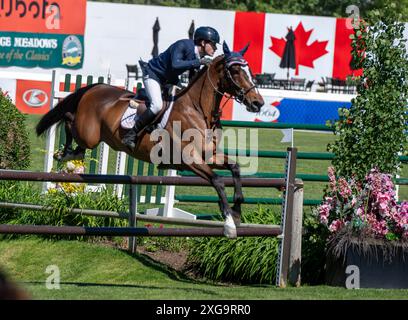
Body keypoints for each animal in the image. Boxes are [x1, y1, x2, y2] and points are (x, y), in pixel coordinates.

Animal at [35, 42, 264, 238]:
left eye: (250, 71)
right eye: (235, 71)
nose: (258, 103)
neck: (198, 110)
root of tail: (96, 87)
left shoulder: (209, 156)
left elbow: (235, 168)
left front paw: (237, 211)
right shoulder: (189, 160)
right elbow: (217, 181)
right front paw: (229, 224)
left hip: (92, 137)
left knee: (77, 137)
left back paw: (71, 153)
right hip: (89, 134)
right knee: (67, 118)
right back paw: (64, 153)